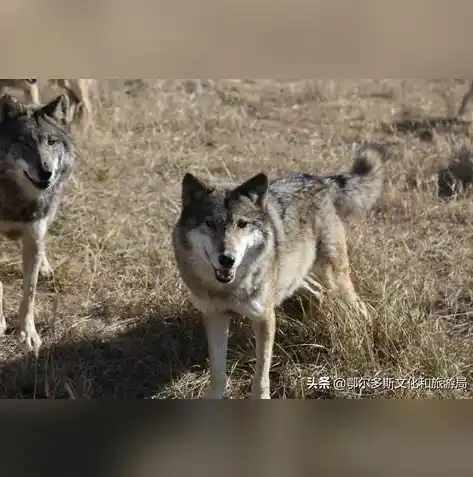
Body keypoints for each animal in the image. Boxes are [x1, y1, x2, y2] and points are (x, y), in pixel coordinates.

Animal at [0, 93, 74, 354]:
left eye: (51, 142)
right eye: (24, 142)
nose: (46, 172)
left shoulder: (34, 235)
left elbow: (29, 294)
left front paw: (28, 334)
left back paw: (44, 267)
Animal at [172, 147, 384, 400]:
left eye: (242, 224)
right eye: (209, 224)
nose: (227, 259)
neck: (228, 289)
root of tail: (319, 180)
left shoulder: (264, 318)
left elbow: (261, 375)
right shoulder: (215, 316)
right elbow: (218, 373)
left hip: (333, 278)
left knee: (361, 308)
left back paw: (368, 336)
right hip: (296, 277)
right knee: (319, 293)